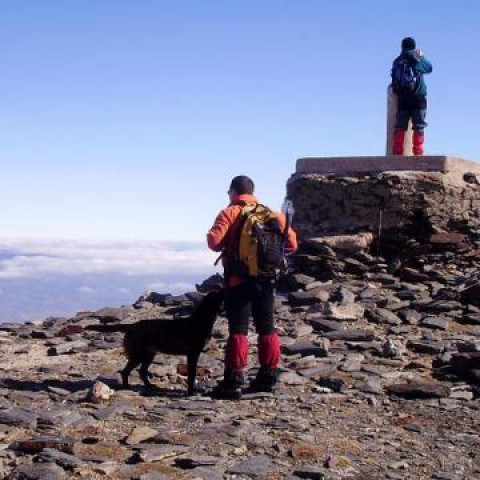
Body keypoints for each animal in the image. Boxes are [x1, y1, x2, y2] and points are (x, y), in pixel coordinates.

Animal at [84, 288, 223, 394]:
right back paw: (127, 387)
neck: (200, 321)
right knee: (126, 371)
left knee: (141, 371)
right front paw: (190, 392)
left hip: (149, 354)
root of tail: (132, 325)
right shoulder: (193, 354)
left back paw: (150, 386)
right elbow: (192, 374)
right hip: (138, 355)